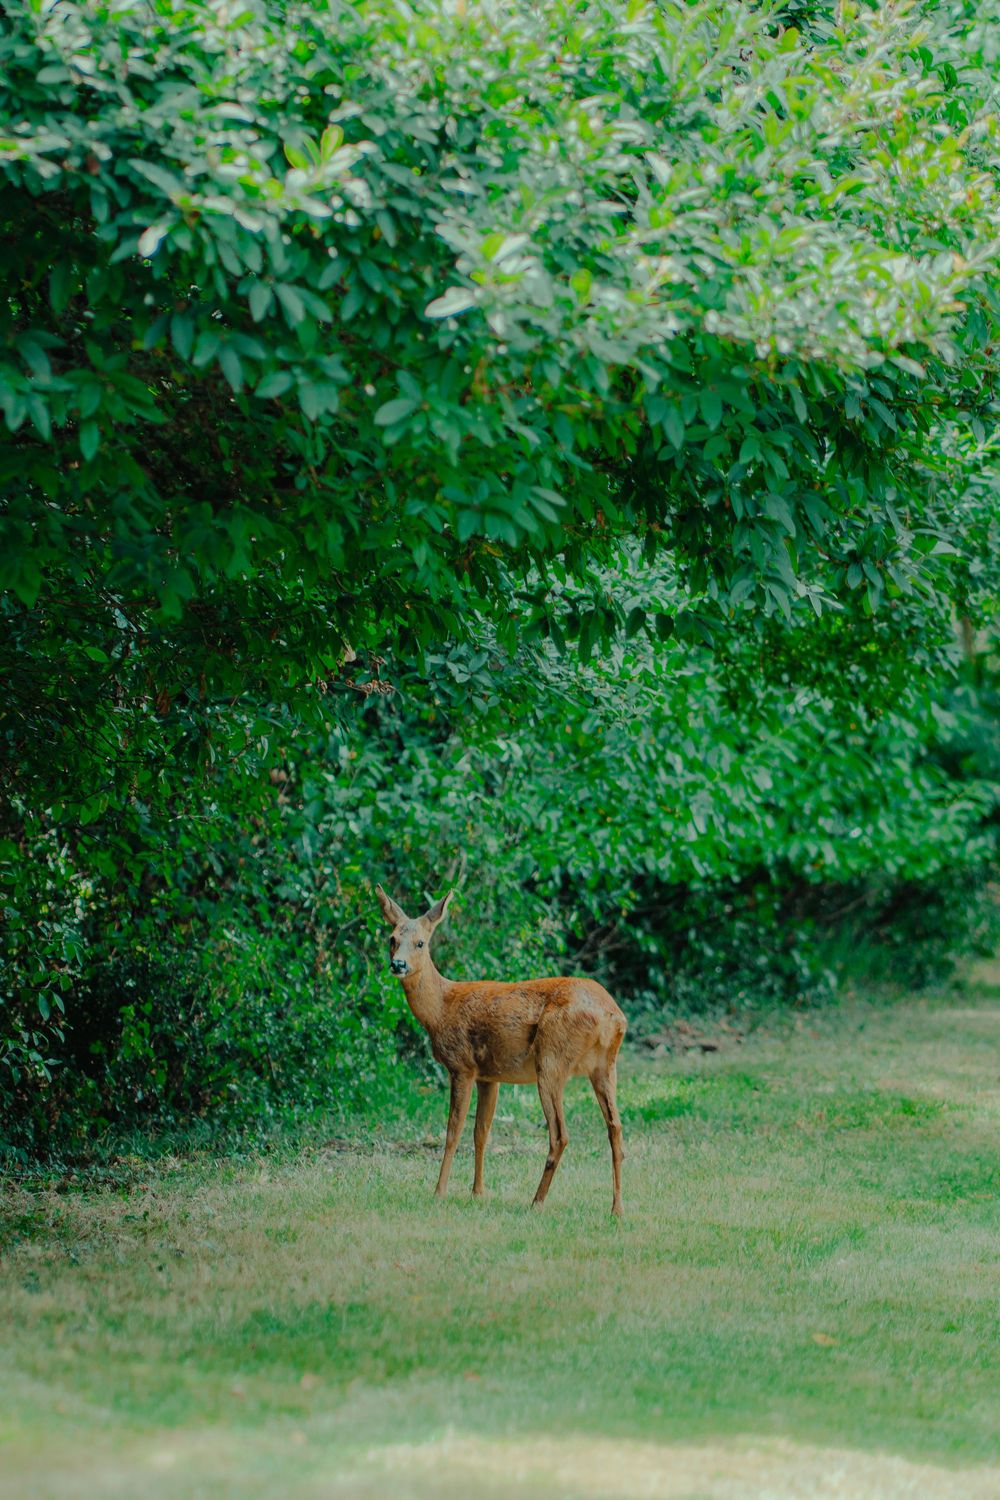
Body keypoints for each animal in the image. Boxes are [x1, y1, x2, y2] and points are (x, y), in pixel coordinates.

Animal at [375, 884, 627, 1216]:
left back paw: (537, 1201)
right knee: (615, 1128)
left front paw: (439, 1192)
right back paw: (616, 1208)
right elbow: (481, 1132)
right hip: (605, 1066)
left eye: (420, 942)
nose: (398, 964)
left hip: (551, 1059)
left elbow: (453, 1132)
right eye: (392, 939)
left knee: (560, 1134)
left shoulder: (462, 1065)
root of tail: (614, 1016)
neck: (441, 1009)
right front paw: (478, 1192)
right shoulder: (489, 1075)